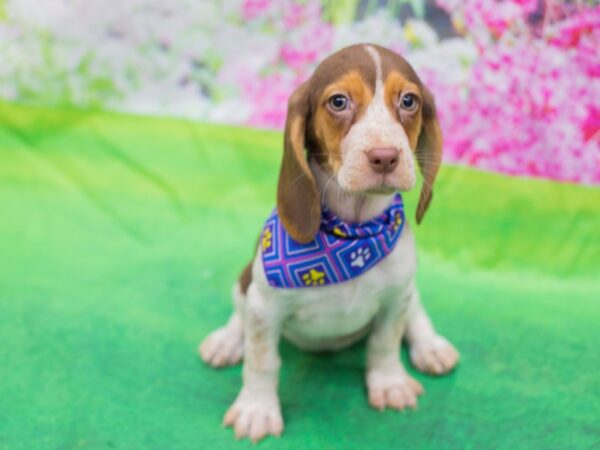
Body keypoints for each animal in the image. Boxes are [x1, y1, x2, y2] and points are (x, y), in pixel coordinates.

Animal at [200, 43, 460, 442]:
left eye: (409, 101)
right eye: (338, 102)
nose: (385, 157)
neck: (353, 236)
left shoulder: (394, 297)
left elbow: (385, 343)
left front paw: (389, 383)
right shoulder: (265, 307)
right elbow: (262, 360)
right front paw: (257, 408)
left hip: (406, 289)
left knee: (416, 311)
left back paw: (430, 346)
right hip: (246, 281)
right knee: (239, 310)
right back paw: (227, 341)